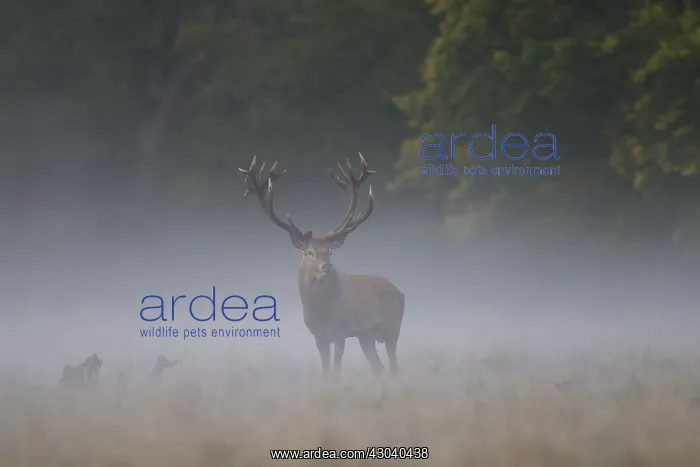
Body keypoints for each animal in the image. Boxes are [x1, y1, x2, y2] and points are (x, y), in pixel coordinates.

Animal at [239, 153, 405, 379]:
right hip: (366, 335)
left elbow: (336, 370)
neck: (321, 311)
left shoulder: (341, 331)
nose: (327, 267)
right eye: (310, 252)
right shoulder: (318, 336)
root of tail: (398, 290)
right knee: (378, 367)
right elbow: (325, 370)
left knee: (394, 365)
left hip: (392, 327)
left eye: (330, 251)